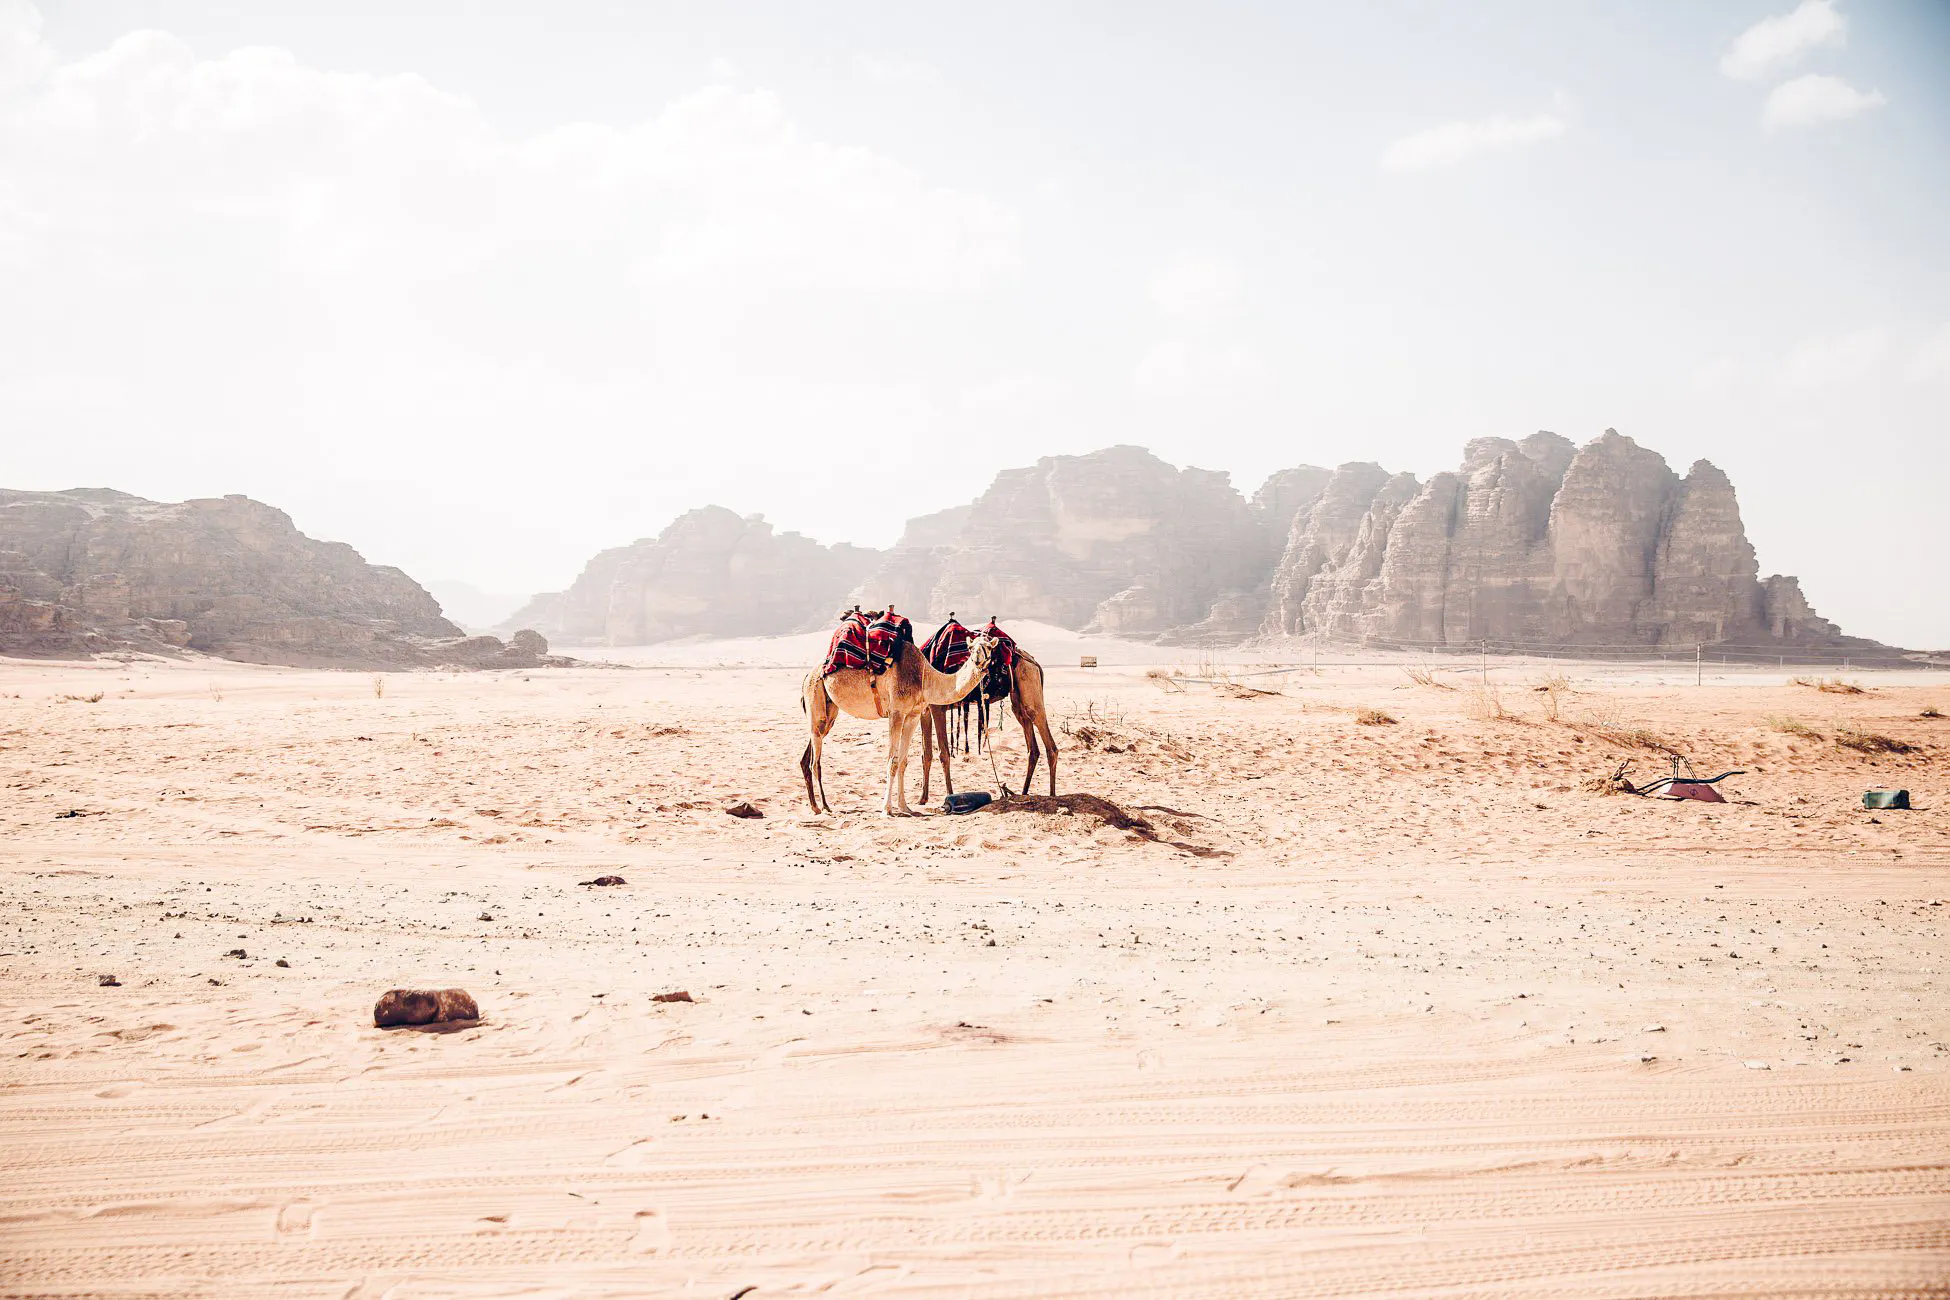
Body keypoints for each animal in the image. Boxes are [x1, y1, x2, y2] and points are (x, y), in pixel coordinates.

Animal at [800, 632, 995, 816]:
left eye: (988, 648)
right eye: (971, 648)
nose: (977, 660)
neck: (924, 677)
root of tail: (808, 674)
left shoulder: (913, 715)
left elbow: (902, 761)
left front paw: (905, 807)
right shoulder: (897, 713)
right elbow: (892, 761)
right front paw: (887, 809)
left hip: (829, 711)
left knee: (812, 750)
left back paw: (815, 806)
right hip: (815, 696)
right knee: (815, 761)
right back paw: (824, 806)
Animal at [918, 647, 1058, 803]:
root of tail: (1034, 662)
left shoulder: (938, 707)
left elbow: (943, 754)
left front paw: (949, 795)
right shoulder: (924, 711)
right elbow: (926, 754)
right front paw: (922, 799)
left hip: (1030, 686)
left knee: (1049, 744)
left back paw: (1052, 795)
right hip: (1018, 702)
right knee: (1032, 748)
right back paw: (1023, 793)